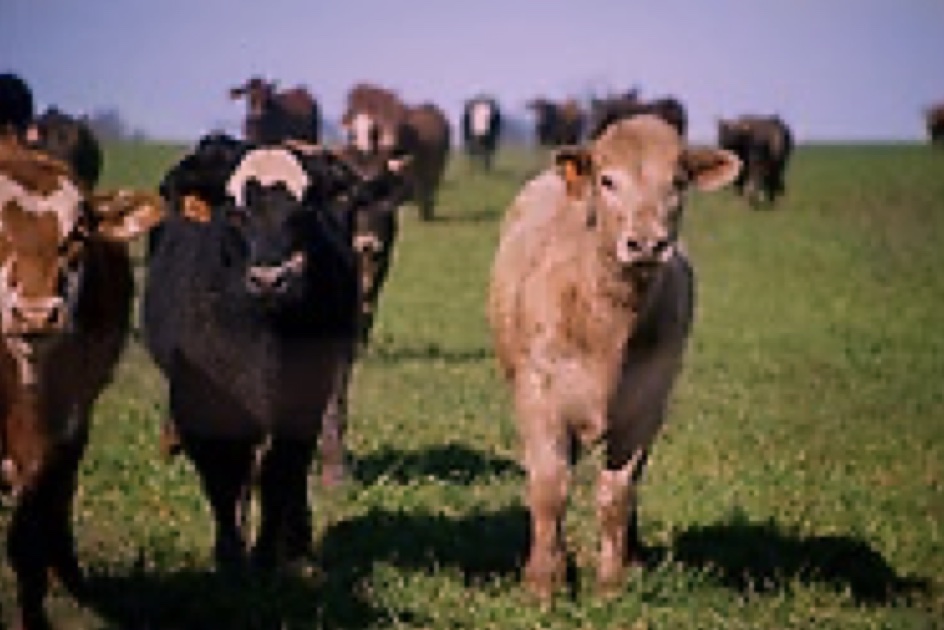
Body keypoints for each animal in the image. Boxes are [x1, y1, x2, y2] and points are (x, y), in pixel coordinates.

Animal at [490, 115, 740, 604]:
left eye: (677, 182)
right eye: (607, 180)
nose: (646, 244)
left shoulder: (645, 407)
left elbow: (617, 493)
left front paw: (611, 584)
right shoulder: (539, 397)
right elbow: (549, 488)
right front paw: (543, 584)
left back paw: (633, 556)